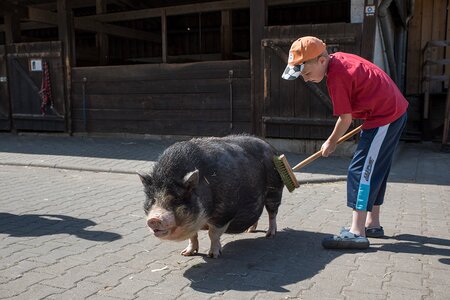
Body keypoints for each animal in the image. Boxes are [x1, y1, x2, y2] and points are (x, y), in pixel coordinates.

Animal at [139, 135, 284, 256]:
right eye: (152, 199)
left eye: (176, 199)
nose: (154, 219)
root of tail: (271, 147)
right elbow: (193, 236)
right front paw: (186, 253)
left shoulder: (224, 213)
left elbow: (212, 234)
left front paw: (213, 255)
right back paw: (249, 231)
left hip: (275, 189)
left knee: (272, 213)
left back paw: (270, 235)